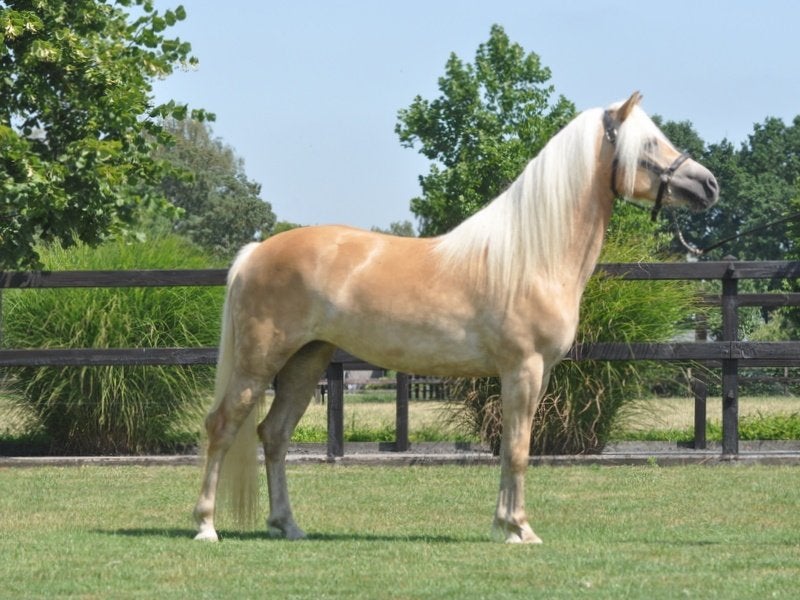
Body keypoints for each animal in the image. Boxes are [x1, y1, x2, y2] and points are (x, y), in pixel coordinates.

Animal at [193, 91, 719, 544]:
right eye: (648, 144)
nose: (708, 184)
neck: (530, 256)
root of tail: (257, 251)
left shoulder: (536, 374)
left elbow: (511, 447)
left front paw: (509, 525)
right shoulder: (522, 369)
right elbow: (518, 449)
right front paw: (518, 529)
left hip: (305, 364)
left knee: (274, 434)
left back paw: (288, 524)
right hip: (258, 363)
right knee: (222, 427)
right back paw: (206, 526)